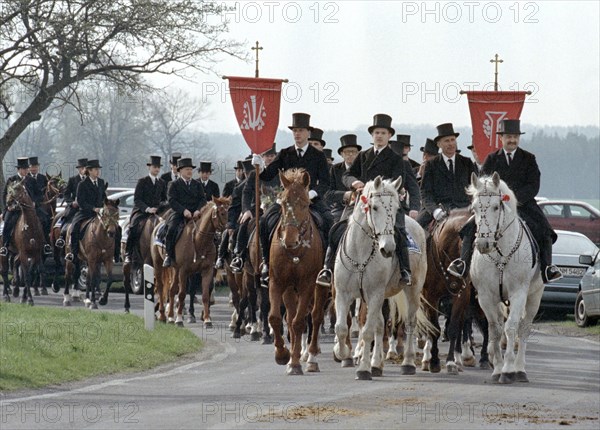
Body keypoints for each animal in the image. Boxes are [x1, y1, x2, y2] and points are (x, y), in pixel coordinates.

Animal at [152, 197, 230, 326]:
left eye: (229, 211)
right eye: (222, 213)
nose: (226, 232)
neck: (199, 240)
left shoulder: (207, 270)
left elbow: (204, 294)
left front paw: (207, 319)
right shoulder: (184, 270)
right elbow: (182, 294)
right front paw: (179, 319)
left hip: (175, 269)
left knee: (172, 289)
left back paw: (170, 317)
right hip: (159, 264)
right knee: (161, 286)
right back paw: (163, 315)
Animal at [268, 169, 326, 376]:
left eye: (305, 204)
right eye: (284, 202)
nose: (290, 240)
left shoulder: (307, 284)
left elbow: (299, 322)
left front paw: (294, 363)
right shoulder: (278, 282)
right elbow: (276, 318)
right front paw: (283, 355)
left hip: (320, 287)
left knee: (315, 317)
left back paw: (311, 358)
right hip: (290, 290)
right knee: (291, 316)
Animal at [330, 176, 428, 380]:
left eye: (397, 208)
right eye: (374, 207)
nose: (388, 248)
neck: (360, 254)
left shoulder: (374, 294)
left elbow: (367, 331)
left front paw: (363, 369)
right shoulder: (343, 294)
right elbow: (341, 327)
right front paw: (342, 353)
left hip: (412, 290)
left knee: (409, 322)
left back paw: (408, 363)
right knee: (380, 325)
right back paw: (376, 364)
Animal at [420, 210, 490, 374]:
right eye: (463, 232)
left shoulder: (460, 296)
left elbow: (453, 328)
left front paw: (451, 362)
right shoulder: (430, 297)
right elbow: (433, 329)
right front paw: (432, 361)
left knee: (482, 324)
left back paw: (481, 358)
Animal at [468, 173, 544, 384]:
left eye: (496, 207)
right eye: (474, 208)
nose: (483, 244)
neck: (501, 252)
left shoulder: (519, 293)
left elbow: (511, 327)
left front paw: (508, 370)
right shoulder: (486, 296)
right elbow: (494, 329)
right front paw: (497, 369)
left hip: (534, 296)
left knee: (524, 328)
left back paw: (520, 369)